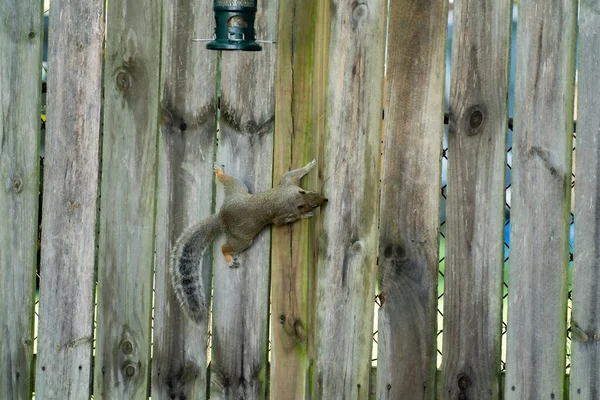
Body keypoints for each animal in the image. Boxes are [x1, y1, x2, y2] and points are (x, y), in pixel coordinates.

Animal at [169, 159, 328, 322]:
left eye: (312, 192)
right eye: (314, 204)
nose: (325, 199)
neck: (292, 199)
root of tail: (221, 218)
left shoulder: (289, 185)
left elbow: (292, 174)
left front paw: (309, 166)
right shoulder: (284, 211)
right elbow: (284, 217)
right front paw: (305, 215)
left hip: (236, 188)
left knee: (226, 179)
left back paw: (219, 171)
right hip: (242, 240)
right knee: (224, 247)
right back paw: (228, 258)